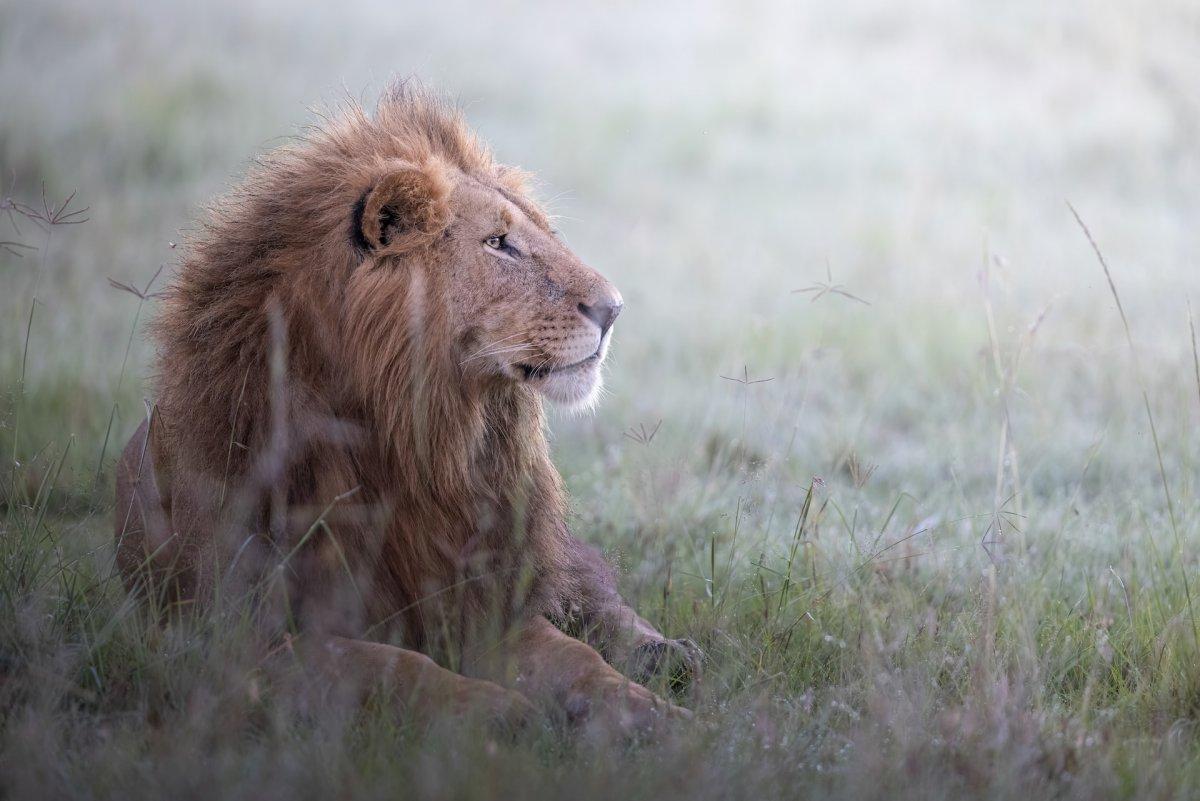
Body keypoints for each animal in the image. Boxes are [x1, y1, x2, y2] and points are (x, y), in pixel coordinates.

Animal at [111, 81, 700, 733]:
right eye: (498, 244)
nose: (615, 309)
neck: (418, 443)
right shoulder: (241, 643)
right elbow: (391, 665)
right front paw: (502, 713)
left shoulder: (483, 601)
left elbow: (580, 660)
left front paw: (662, 720)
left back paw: (667, 656)